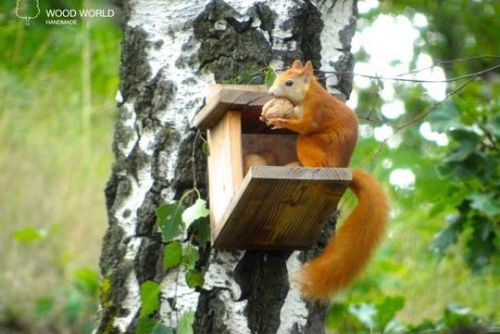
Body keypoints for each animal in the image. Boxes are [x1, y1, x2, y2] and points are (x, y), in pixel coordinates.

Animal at [264, 60, 388, 302]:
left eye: (289, 82)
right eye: (279, 77)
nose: (271, 93)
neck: (308, 95)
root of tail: (340, 168)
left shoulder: (316, 112)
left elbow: (303, 126)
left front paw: (280, 120)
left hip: (311, 145)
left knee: (306, 145)